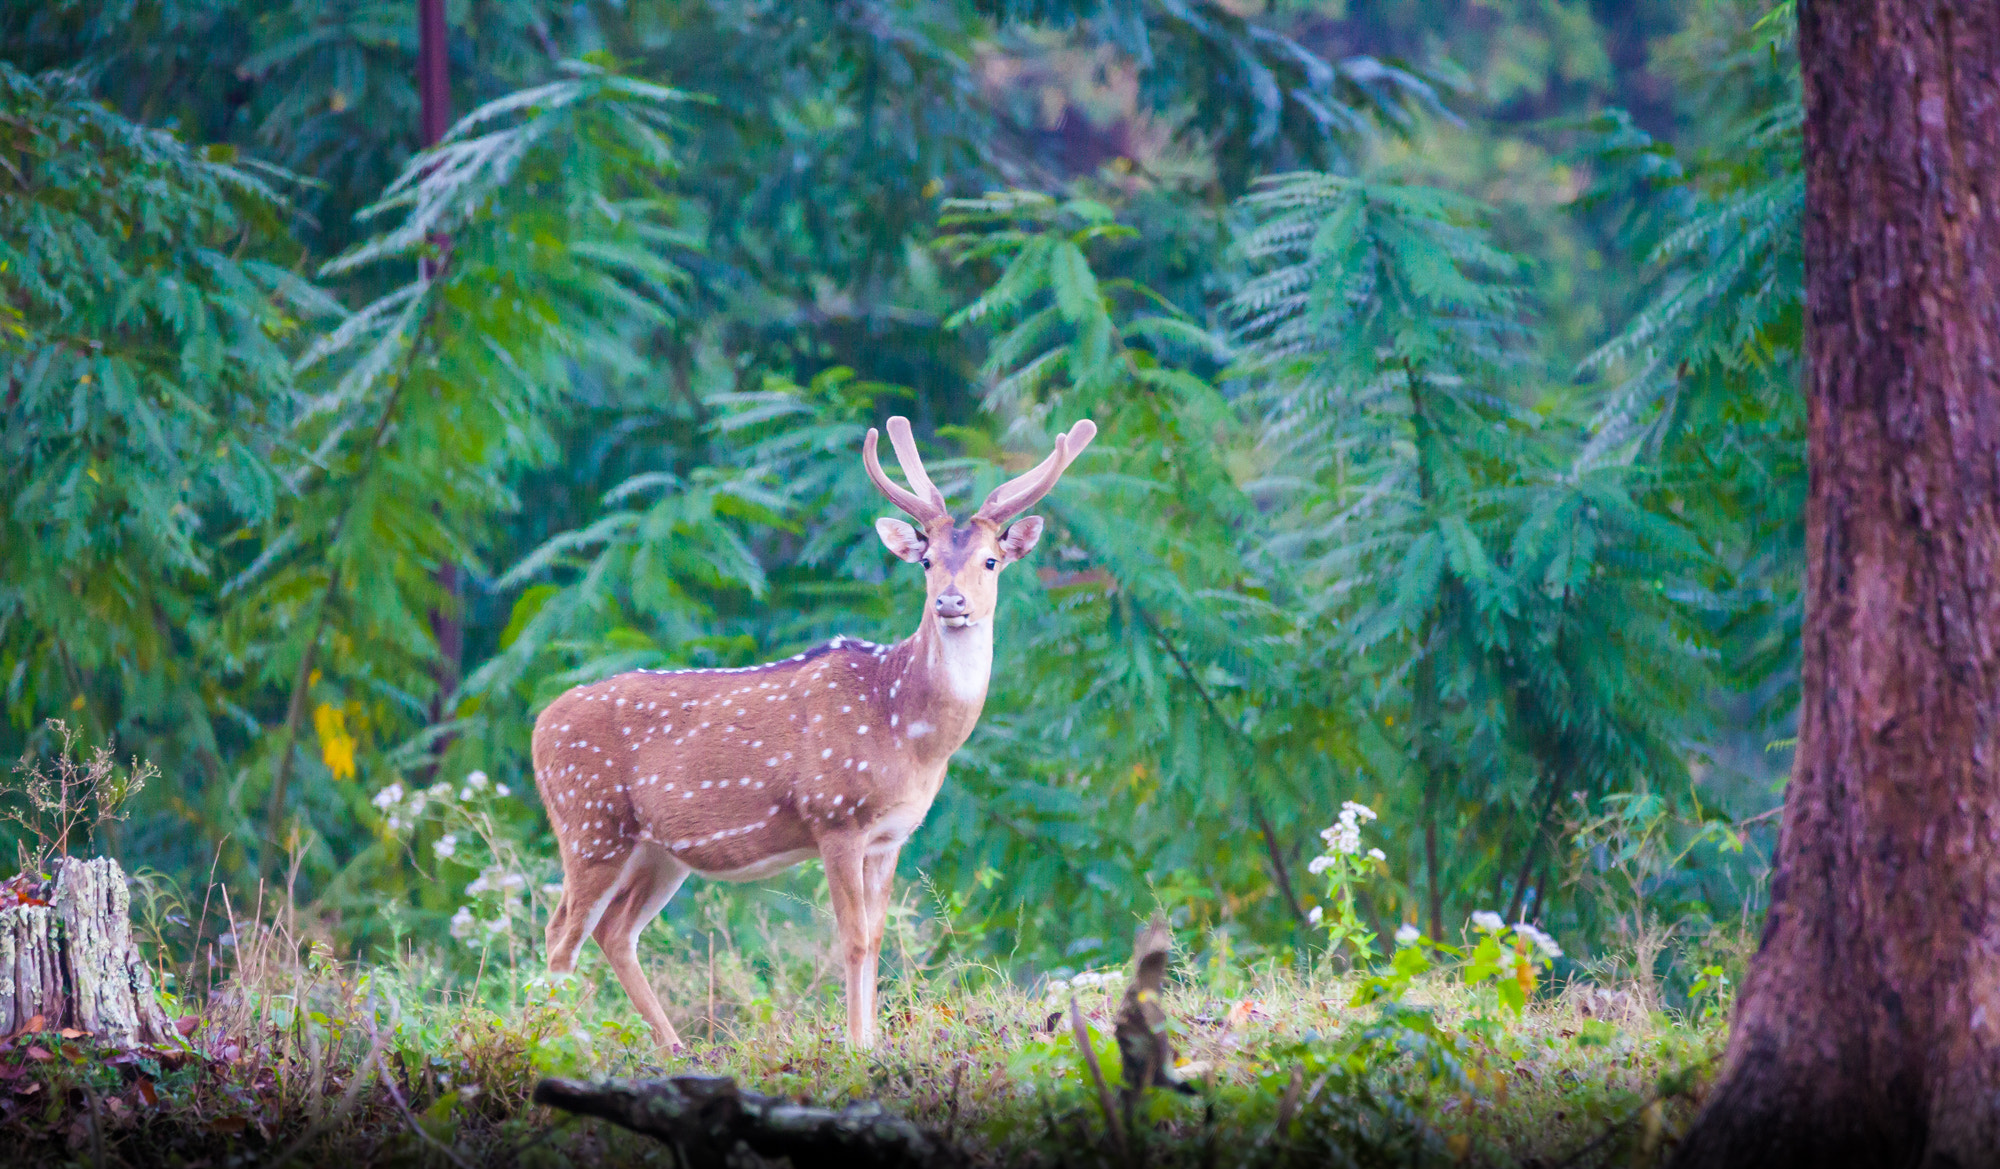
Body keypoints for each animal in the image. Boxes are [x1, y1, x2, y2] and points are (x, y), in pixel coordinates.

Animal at [530, 416, 1097, 1050]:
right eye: (926, 561)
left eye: (992, 560)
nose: (952, 602)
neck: (908, 733)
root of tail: (540, 725)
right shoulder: (835, 814)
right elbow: (852, 939)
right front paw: (855, 1046)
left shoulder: (891, 836)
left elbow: (878, 938)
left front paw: (870, 1042)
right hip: (589, 822)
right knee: (561, 934)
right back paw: (552, 1042)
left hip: (657, 849)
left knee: (613, 930)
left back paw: (671, 1046)